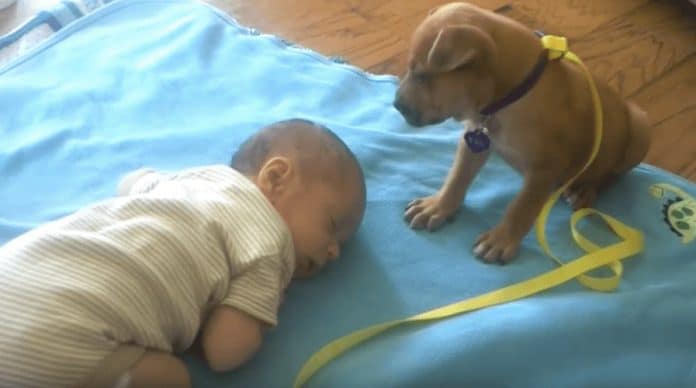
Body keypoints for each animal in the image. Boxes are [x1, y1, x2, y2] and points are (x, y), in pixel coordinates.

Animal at [394, 2, 648, 264]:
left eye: (422, 76)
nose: (396, 105)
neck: (510, 96)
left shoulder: (545, 169)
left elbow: (521, 207)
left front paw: (500, 239)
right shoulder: (474, 141)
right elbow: (457, 177)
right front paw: (438, 207)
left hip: (640, 128)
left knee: (613, 174)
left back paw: (585, 190)